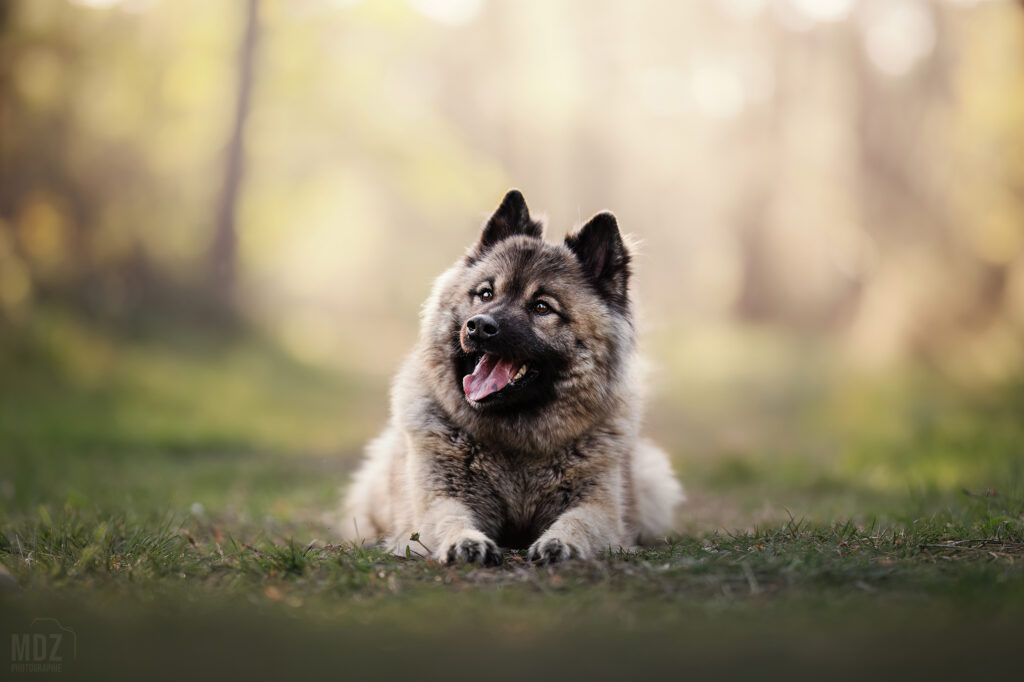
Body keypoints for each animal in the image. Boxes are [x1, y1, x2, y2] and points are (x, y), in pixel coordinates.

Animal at [339, 188, 684, 561]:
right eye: (485, 293)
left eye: (542, 307)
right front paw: (464, 542)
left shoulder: (599, 507)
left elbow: (579, 523)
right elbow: (448, 519)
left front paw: (560, 542)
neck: (517, 444)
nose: (478, 326)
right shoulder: (437, 499)